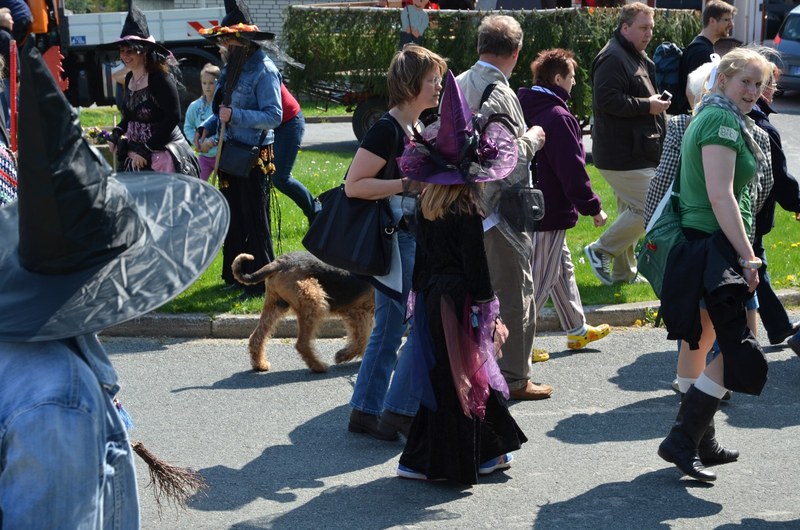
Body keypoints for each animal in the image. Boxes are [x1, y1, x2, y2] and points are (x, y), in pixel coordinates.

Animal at [231, 251, 376, 372]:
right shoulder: (357, 311)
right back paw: (319, 366)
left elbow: (364, 338)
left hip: (276, 304)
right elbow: (361, 340)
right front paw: (342, 356)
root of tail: (279, 263)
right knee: (301, 344)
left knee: (257, 337)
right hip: (314, 303)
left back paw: (260, 365)